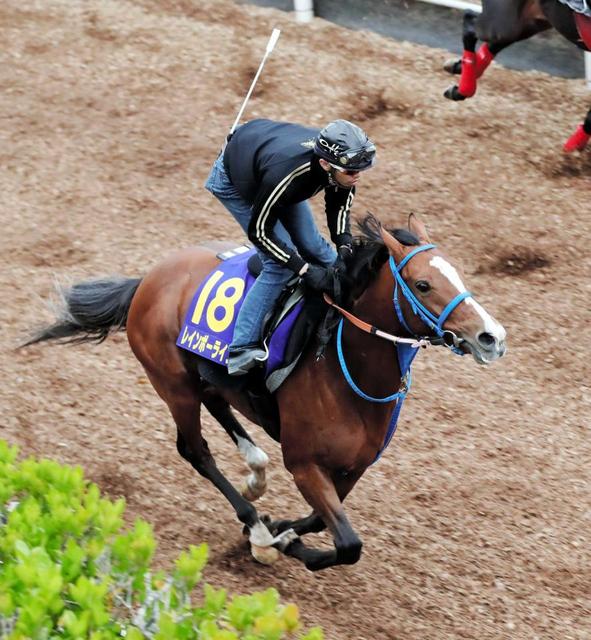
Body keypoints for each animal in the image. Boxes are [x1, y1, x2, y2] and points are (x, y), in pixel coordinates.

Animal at [20, 215, 506, 568]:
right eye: (423, 285)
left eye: (458, 275)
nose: (491, 337)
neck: (347, 373)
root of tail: (148, 281)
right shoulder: (306, 464)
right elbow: (348, 544)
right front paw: (275, 541)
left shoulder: (353, 469)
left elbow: (318, 520)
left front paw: (283, 528)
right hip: (173, 385)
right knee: (196, 451)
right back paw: (253, 521)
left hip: (204, 375)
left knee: (220, 404)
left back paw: (256, 475)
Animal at [444, 0, 591, 151]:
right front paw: (572, 148)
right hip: (504, 24)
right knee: (469, 21)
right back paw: (462, 89)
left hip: (532, 20)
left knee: (498, 40)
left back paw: (459, 69)